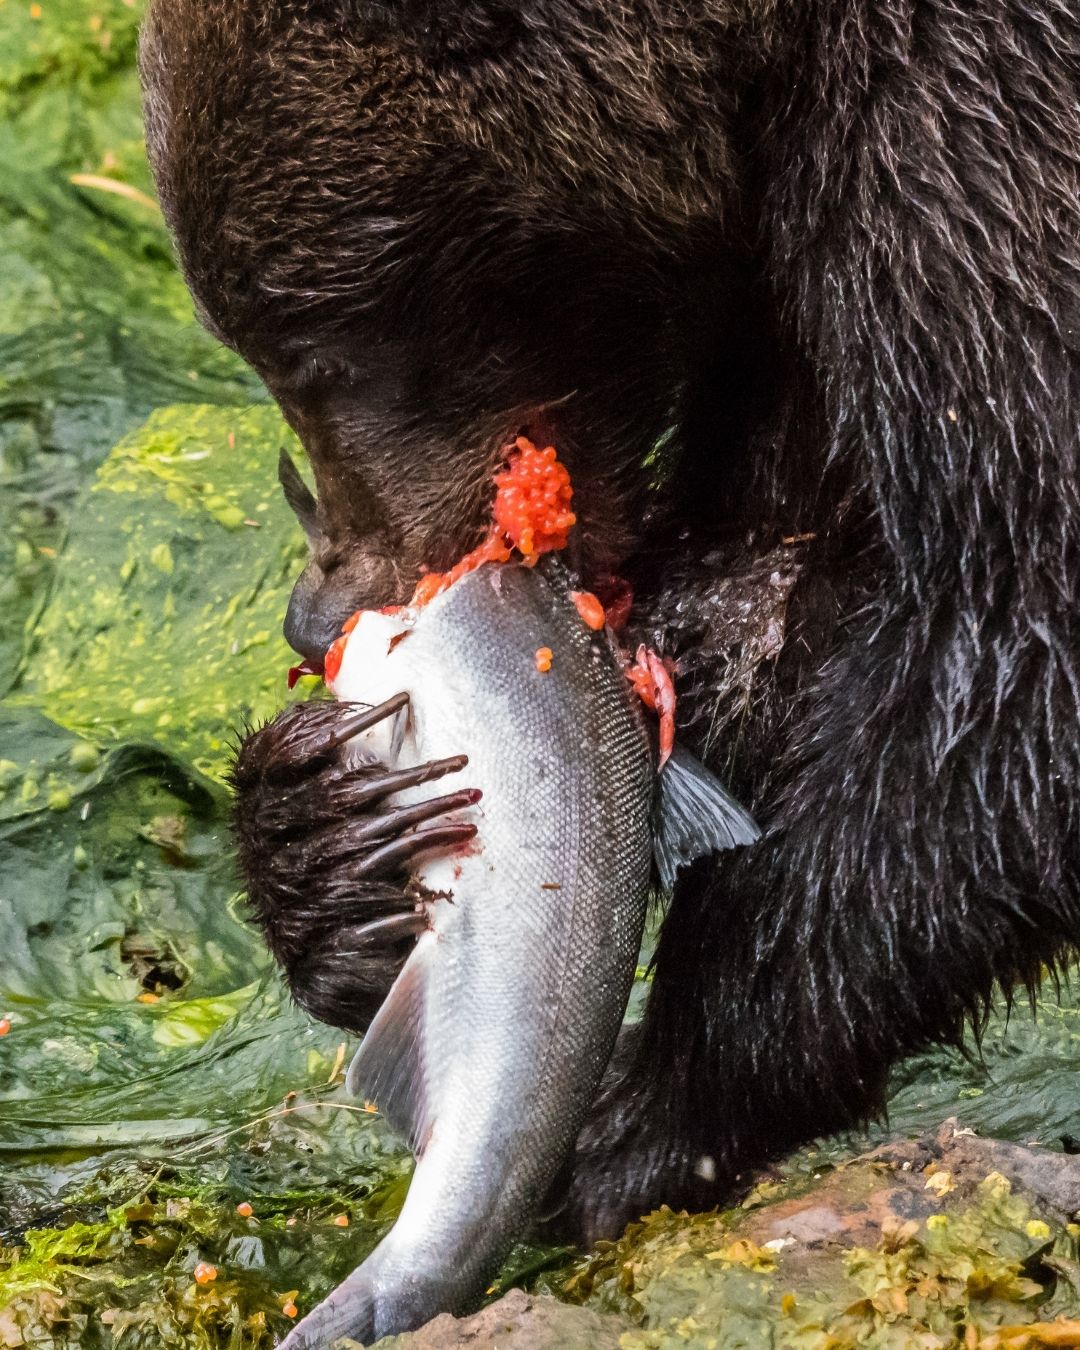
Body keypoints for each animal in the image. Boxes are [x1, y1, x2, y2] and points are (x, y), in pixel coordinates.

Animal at [140, 0, 1080, 1248]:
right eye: (251, 333)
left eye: (314, 339)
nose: (317, 612)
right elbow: (767, 587)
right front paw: (323, 837)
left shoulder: (971, 152)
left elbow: (1009, 647)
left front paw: (637, 1110)